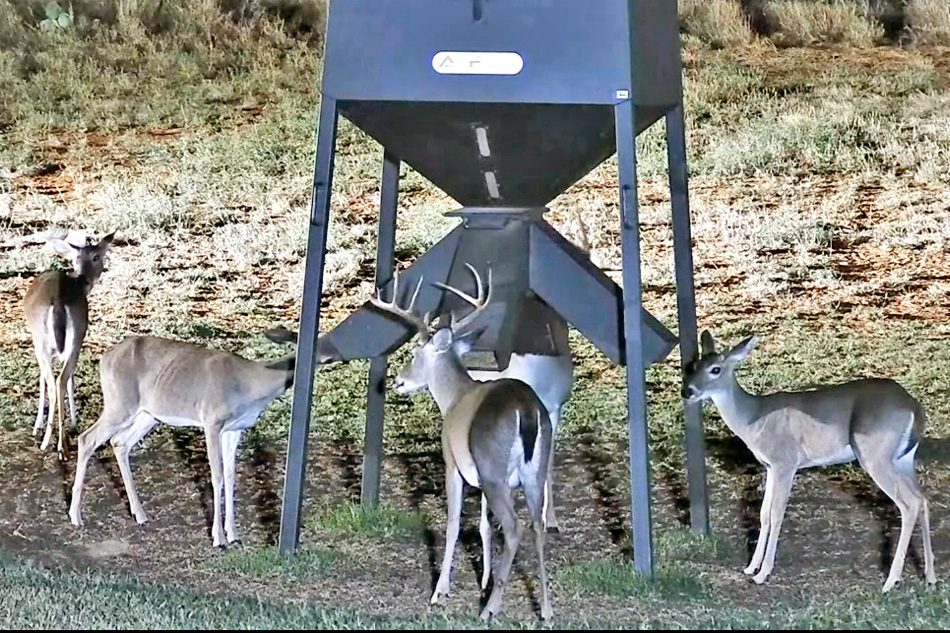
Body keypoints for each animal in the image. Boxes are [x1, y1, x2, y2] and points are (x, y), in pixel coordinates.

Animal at [23, 230, 115, 457]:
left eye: (96, 256)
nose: (89, 278)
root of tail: (57, 299)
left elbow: (47, 379)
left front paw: (40, 425)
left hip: (45, 340)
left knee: (55, 380)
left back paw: (54, 442)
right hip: (71, 338)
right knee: (60, 379)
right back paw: (58, 443)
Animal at [68, 329, 296, 548]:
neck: (249, 384)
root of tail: (105, 357)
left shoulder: (235, 429)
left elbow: (231, 475)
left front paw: (233, 535)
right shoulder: (212, 422)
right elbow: (217, 476)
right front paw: (218, 538)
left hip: (148, 414)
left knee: (119, 442)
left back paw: (139, 514)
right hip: (119, 404)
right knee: (86, 438)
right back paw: (75, 516)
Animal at [370, 264, 554, 622]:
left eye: (415, 353)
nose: (398, 382)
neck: (454, 398)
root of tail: (526, 411)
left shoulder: (453, 463)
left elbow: (454, 523)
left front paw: (440, 591)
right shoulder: (482, 479)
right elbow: (483, 525)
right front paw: (482, 581)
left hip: (494, 468)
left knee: (514, 527)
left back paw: (490, 610)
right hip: (533, 469)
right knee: (537, 525)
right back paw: (547, 611)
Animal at [683, 330, 936, 592]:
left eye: (715, 369)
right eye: (692, 366)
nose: (687, 392)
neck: (753, 420)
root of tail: (914, 408)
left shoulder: (786, 461)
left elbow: (776, 513)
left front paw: (763, 573)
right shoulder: (770, 466)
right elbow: (763, 513)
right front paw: (751, 567)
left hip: (875, 454)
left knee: (908, 504)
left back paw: (890, 580)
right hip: (903, 458)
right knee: (922, 499)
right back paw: (930, 576)